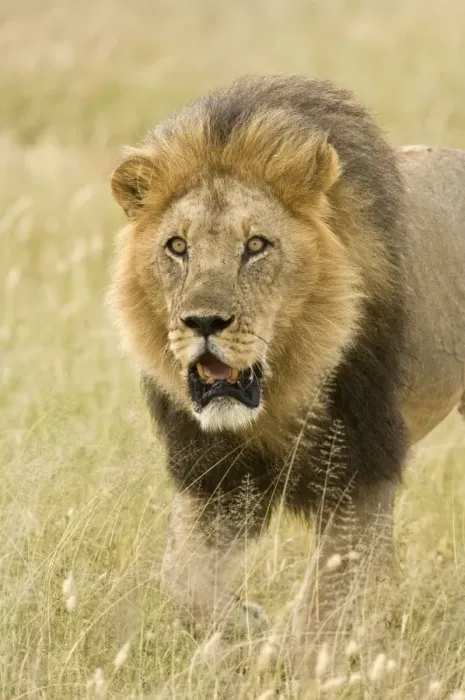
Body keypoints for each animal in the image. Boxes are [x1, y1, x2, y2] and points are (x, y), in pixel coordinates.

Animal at [108, 75, 465, 673]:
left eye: (256, 246)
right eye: (177, 247)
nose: (204, 322)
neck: (279, 393)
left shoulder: (359, 468)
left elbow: (328, 600)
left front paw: (307, 664)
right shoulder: (219, 477)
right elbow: (180, 580)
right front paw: (247, 631)